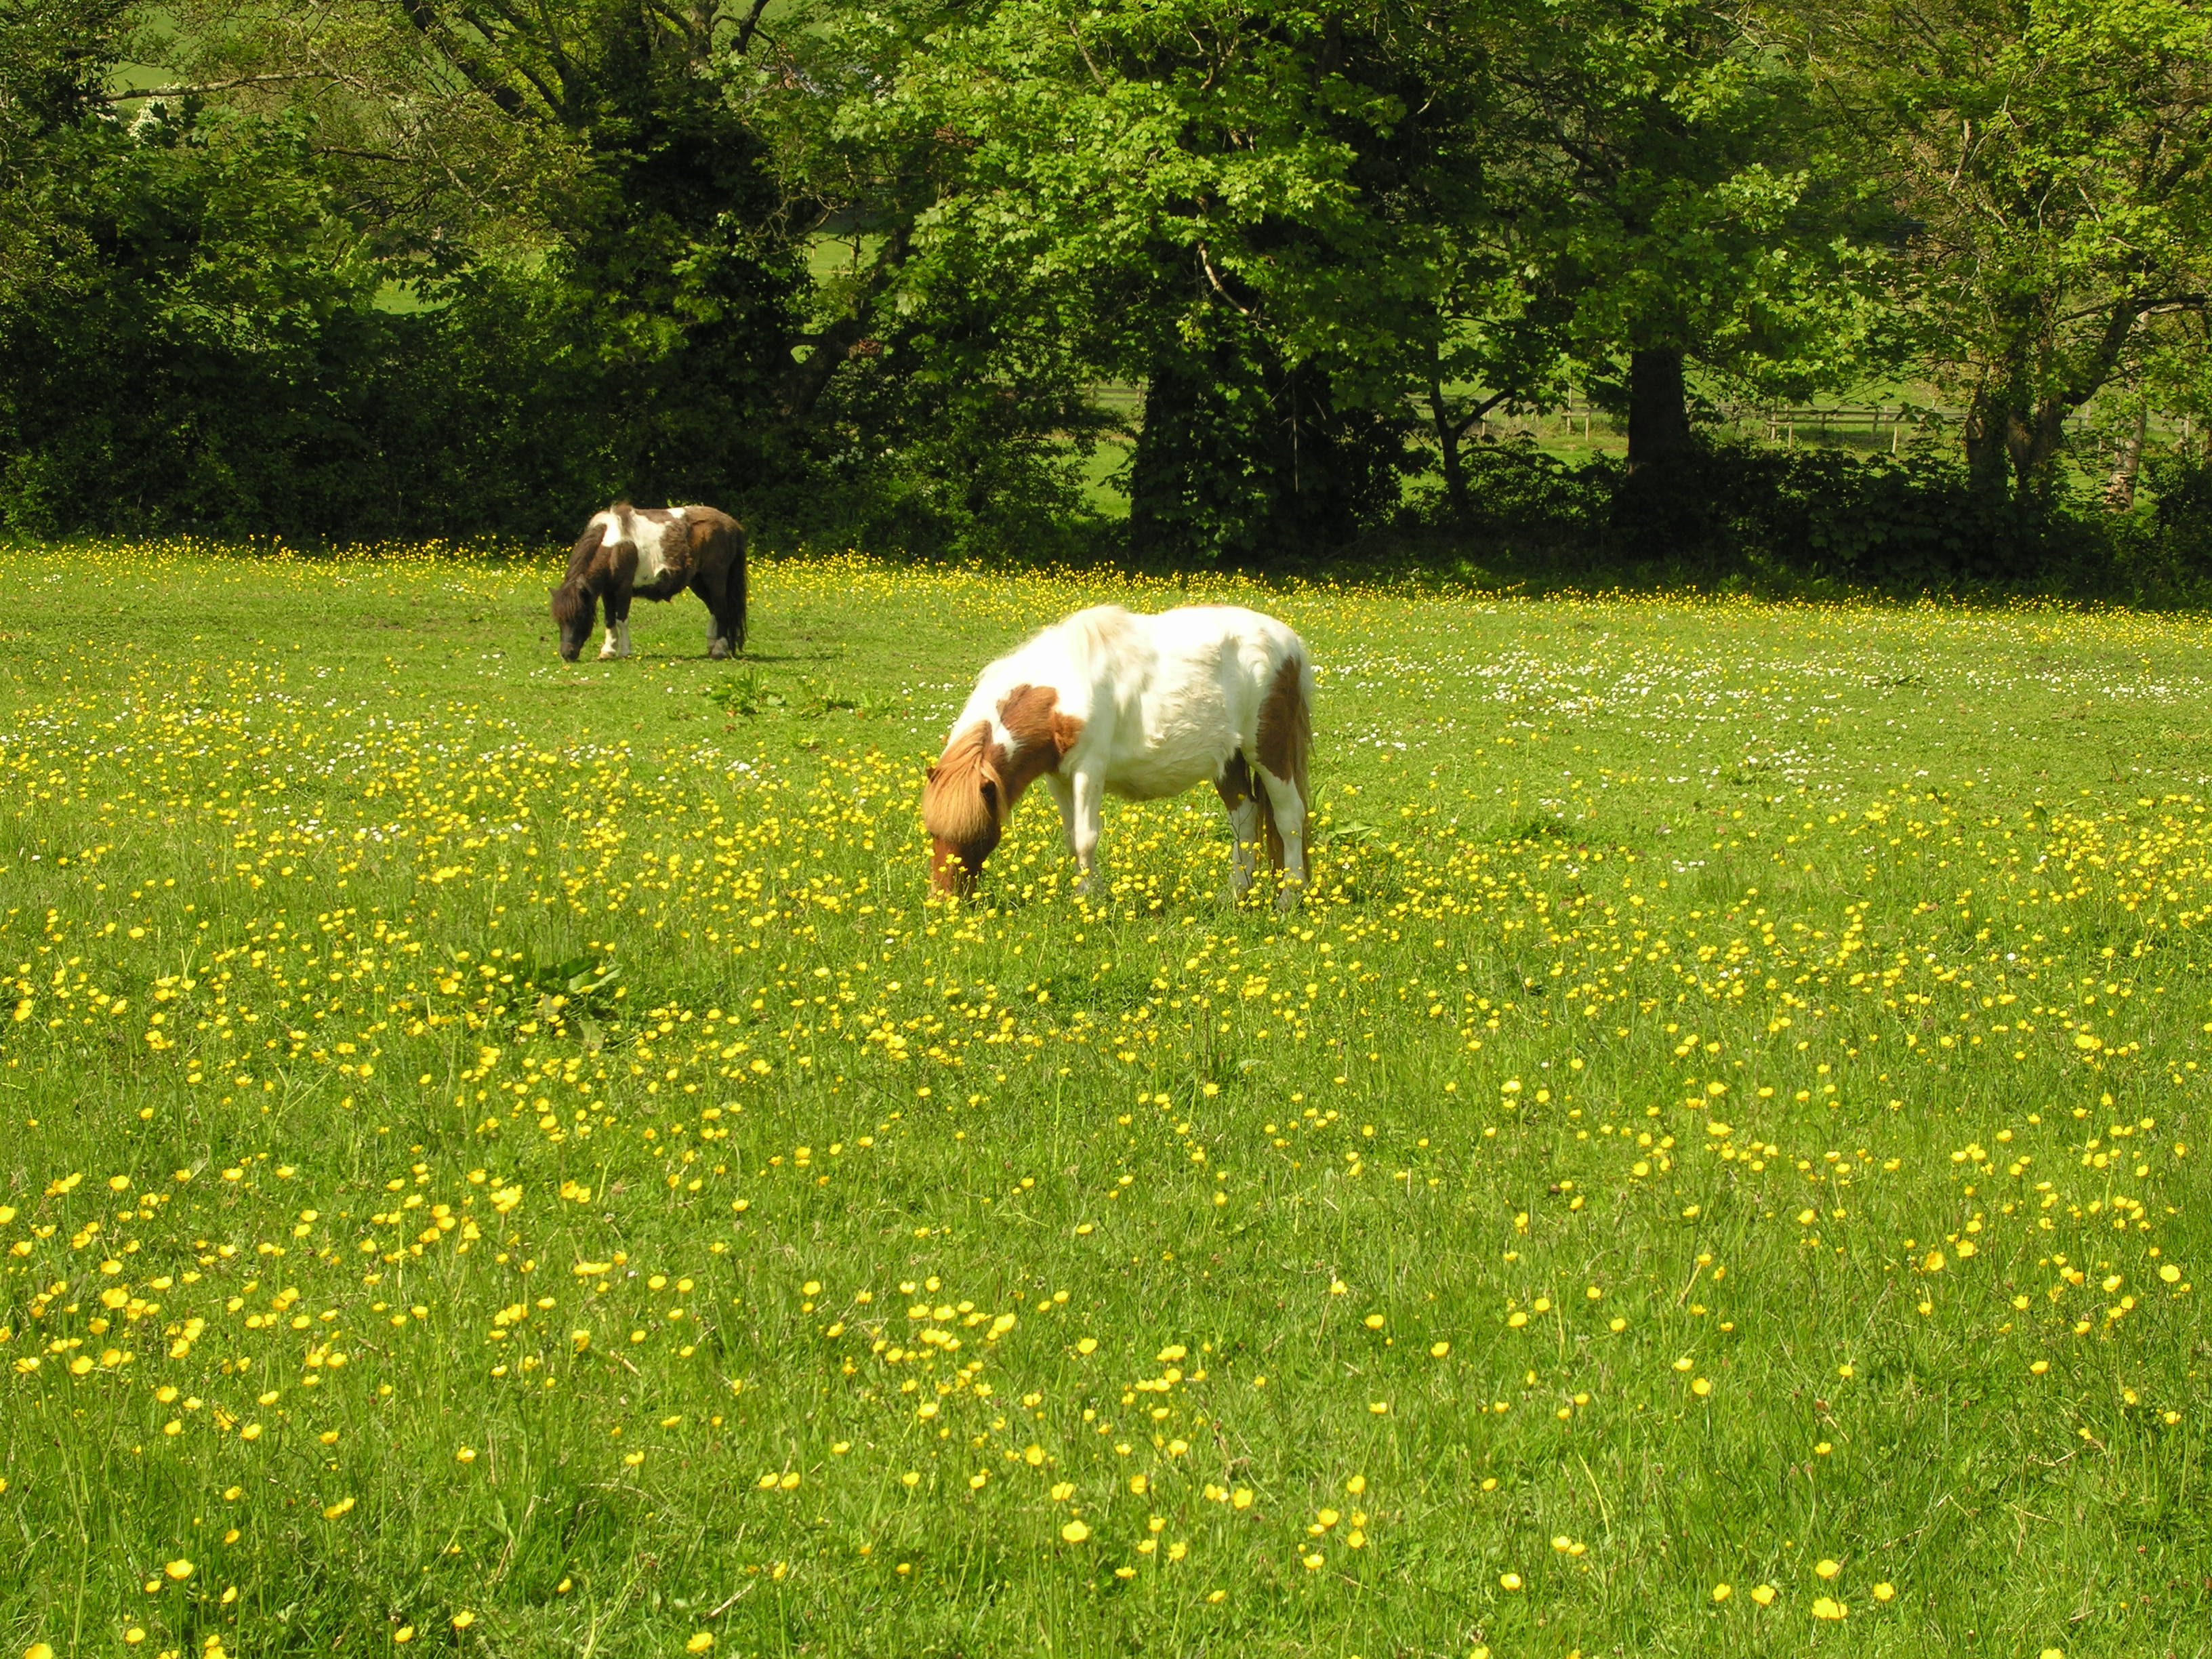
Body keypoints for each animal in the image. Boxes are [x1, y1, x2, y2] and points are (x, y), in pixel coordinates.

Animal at [551, 502, 747, 663]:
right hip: (698, 582)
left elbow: (621, 619)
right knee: (714, 609)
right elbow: (609, 620)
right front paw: (608, 651)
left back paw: (719, 650)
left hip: (715, 579)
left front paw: (625, 652)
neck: (613, 548)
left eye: (580, 616)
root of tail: (732, 524)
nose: (567, 655)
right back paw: (712, 646)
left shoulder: (623, 589)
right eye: (559, 620)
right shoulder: (608, 591)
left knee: (721, 610)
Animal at [921, 604, 1313, 909]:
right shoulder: (1057, 778)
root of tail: (1291, 643)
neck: (1060, 696)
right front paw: (1085, 894)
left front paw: (1089, 899)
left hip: (1267, 751)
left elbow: (1086, 837)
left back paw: (1289, 898)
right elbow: (1071, 838)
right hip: (1229, 758)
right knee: (1244, 815)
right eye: (932, 832)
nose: (943, 901)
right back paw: (1236, 893)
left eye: (977, 836)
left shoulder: (1089, 769)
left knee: (1289, 818)